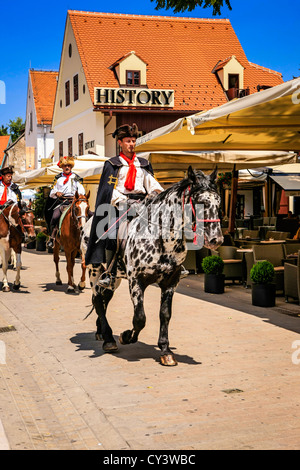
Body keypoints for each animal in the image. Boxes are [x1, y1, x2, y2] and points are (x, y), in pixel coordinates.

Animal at [82, 167, 223, 366]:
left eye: (218, 201)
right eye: (200, 201)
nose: (216, 240)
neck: (161, 238)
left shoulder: (170, 282)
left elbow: (165, 314)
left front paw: (165, 350)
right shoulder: (136, 281)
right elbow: (139, 318)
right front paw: (127, 336)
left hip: (113, 277)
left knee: (105, 297)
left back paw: (101, 331)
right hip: (95, 270)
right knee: (97, 300)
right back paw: (109, 339)